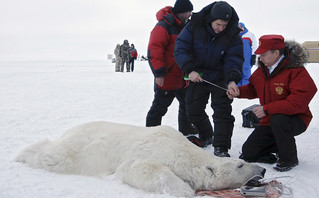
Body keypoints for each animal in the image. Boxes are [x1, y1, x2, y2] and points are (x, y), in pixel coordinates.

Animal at [15, 121, 266, 197]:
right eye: (240, 164)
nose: (263, 170)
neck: (185, 151)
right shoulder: (154, 149)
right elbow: (137, 168)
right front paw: (185, 189)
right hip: (80, 150)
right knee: (54, 156)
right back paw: (22, 155)